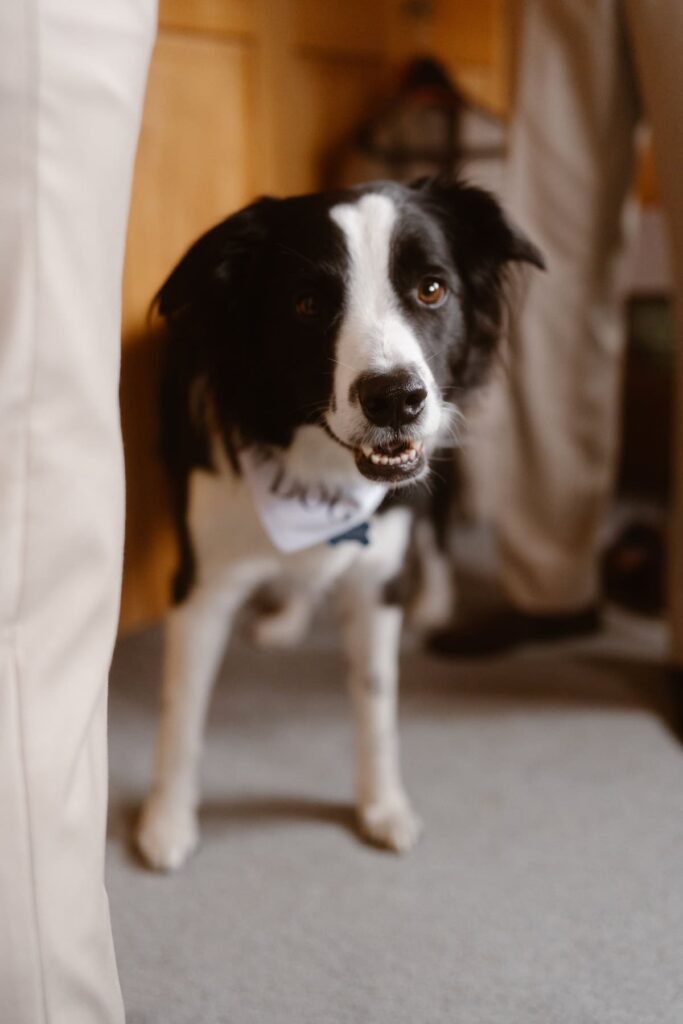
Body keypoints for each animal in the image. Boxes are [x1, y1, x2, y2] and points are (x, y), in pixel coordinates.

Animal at [135, 178, 540, 872]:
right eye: (305, 304)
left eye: (431, 288)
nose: (395, 398)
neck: (318, 465)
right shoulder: (203, 584)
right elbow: (181, 708)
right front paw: (167, 820)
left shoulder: (377, 576)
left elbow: (377, 704)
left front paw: (383, 808)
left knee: (434, 530)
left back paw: (434, 602)